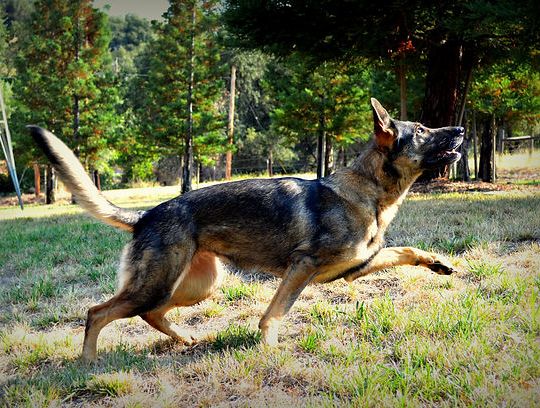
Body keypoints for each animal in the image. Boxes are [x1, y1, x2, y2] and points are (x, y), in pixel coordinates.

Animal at [28, 99, 464, 360]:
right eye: (421, 129)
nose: (460, 129)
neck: (369, 192)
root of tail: (147, 215)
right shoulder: (302, 268)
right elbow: (274, 314)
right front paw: (268, 347)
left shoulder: (353, 267)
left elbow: (406, 251)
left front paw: (439, 263)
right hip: (157, 285)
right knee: (97, 312)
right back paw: (88, 361)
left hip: (195, 287)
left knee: (151, 314)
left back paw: (184, 339)